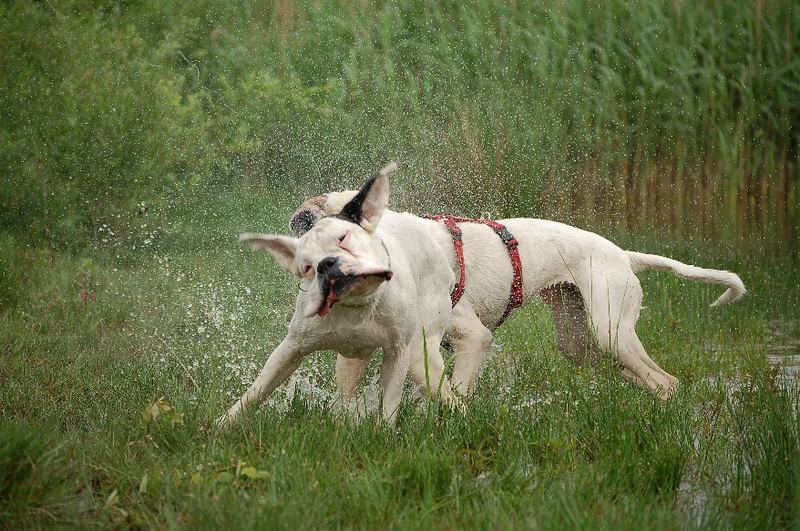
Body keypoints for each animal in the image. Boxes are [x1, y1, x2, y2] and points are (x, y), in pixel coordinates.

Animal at [219, 163, 456, 428]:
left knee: (449, 395)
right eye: (307, 266)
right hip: (350, 362)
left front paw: (382, 430)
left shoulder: (398, 352)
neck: (356, 305)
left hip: (419, 354)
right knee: (347, 391)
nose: (327, 263)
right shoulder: (292, 347)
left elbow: (389, 405)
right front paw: (223, 423)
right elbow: (257, 390)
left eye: (343, 238)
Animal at [290, 185, 748, 402]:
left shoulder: (474, 338)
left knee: (666, 381)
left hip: (610, 330)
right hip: (579, 339)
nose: (299, 218)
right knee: (638, 374)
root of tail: (623, 255)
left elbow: (456, 390)